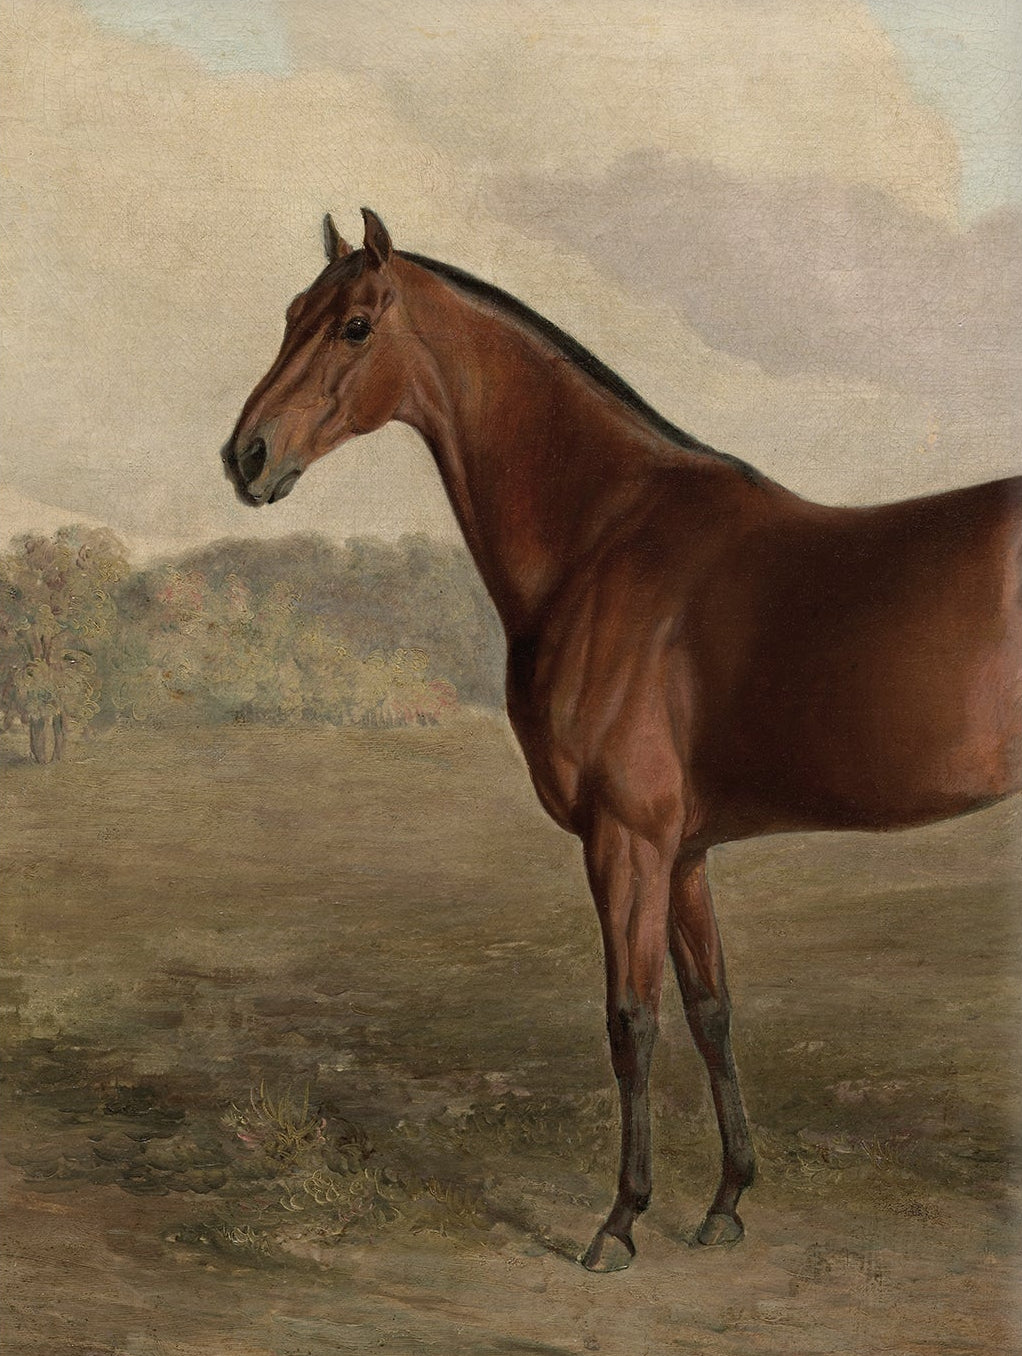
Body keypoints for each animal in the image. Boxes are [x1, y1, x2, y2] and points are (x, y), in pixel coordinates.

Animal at [222, 208, 1022, 1272]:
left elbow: (630, 1021)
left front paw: (619, 1221)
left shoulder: (625, 839)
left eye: (354, 326)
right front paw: (726, 1203)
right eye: (289, 315)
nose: (246, 457)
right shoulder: (683, 853)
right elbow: (711, 1011)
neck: (604, 536)